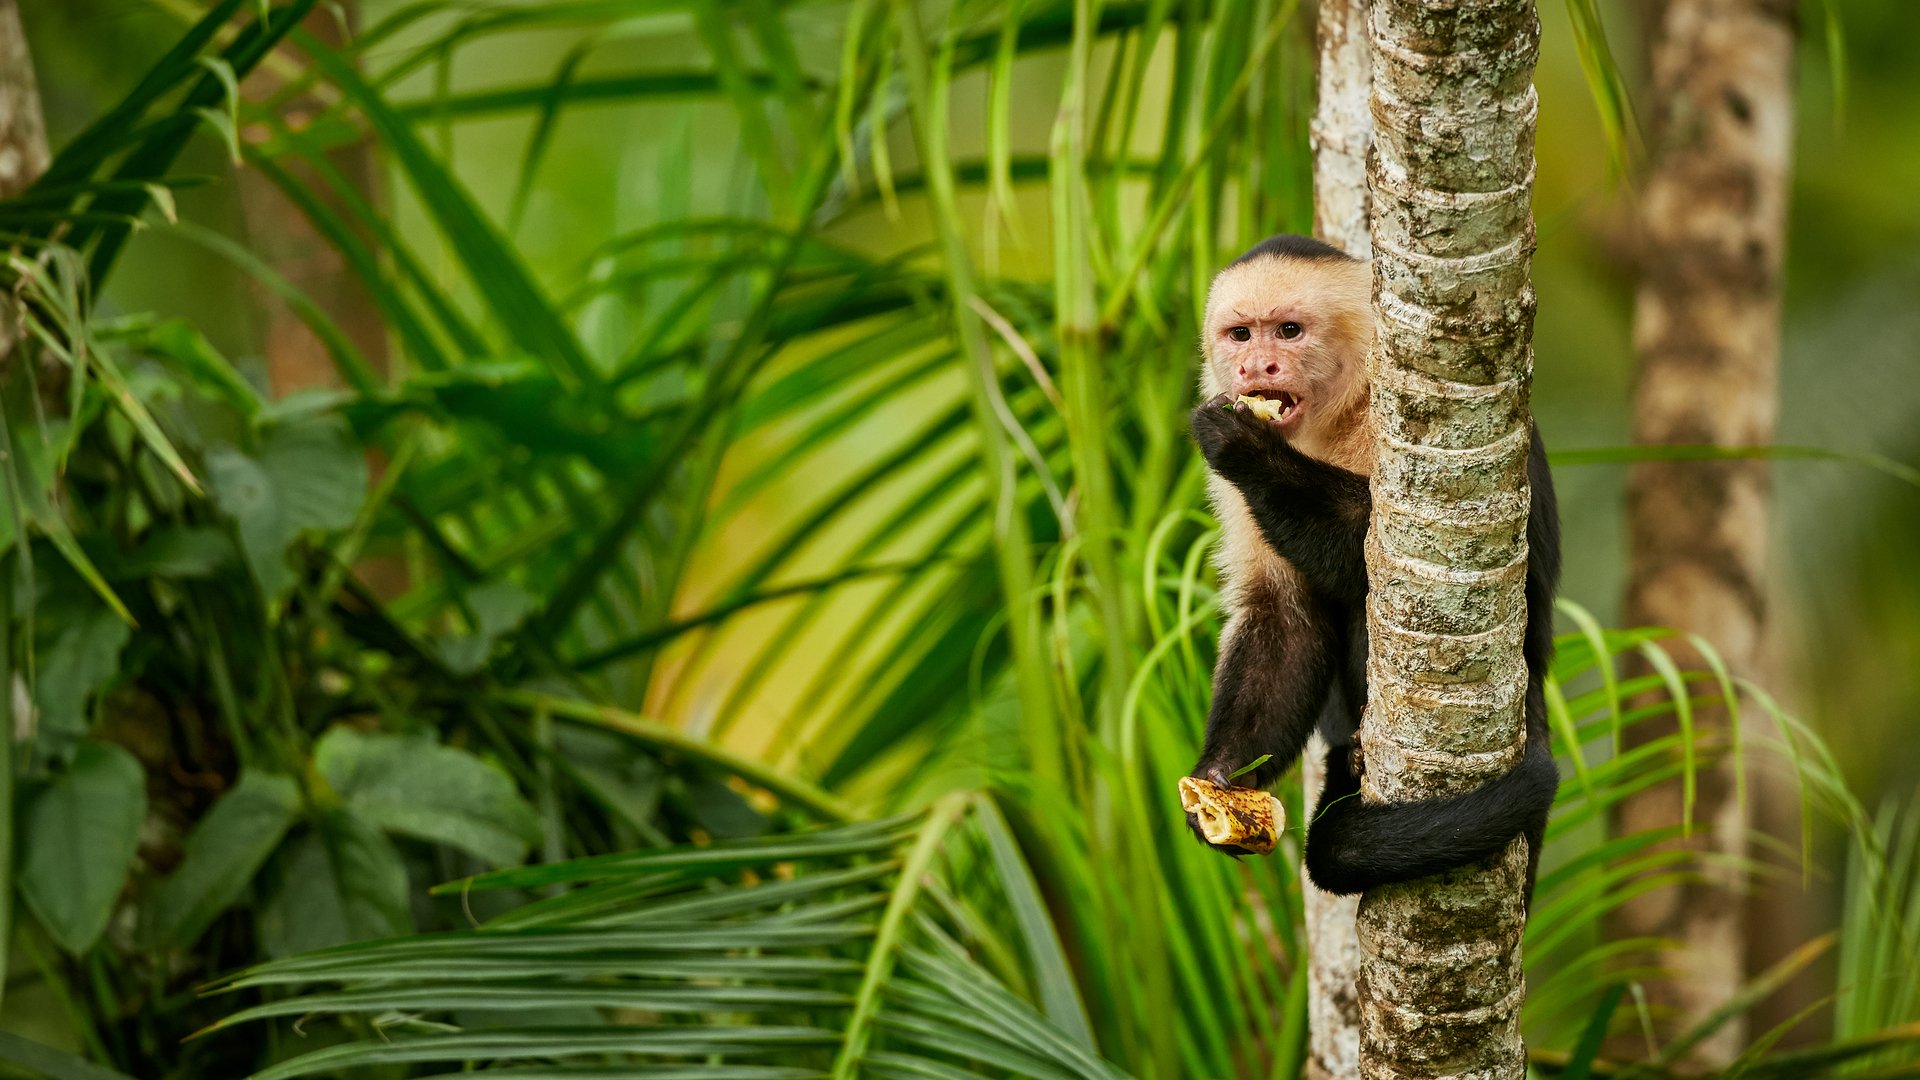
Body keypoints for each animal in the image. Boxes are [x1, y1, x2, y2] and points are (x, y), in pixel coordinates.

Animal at [1185, 233, 1562, 897]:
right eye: (1240, 334)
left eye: (1288, 331)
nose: (1256, 367)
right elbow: (1285, 614)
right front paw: (1224, 778)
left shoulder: (1395, 410)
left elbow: (1387, 560)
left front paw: (1248, 448)